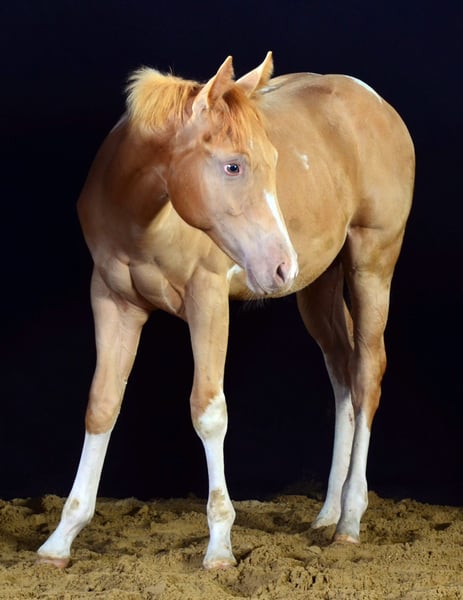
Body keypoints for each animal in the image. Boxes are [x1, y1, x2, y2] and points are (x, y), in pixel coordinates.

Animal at [37, 52, 414, 569]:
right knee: (341, 374)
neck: (145, 215)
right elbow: (102, 405)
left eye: (272, 161)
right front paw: (61, 538)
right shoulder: (113, 301)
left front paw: (219, 546)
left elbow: (208, 411)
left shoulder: (209, 299)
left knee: (366, 374)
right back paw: (328, 514)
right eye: (233, 166)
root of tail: (375, 103)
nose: (282, 265)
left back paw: (351, 520)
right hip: (319, 287)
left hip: (372, 262)